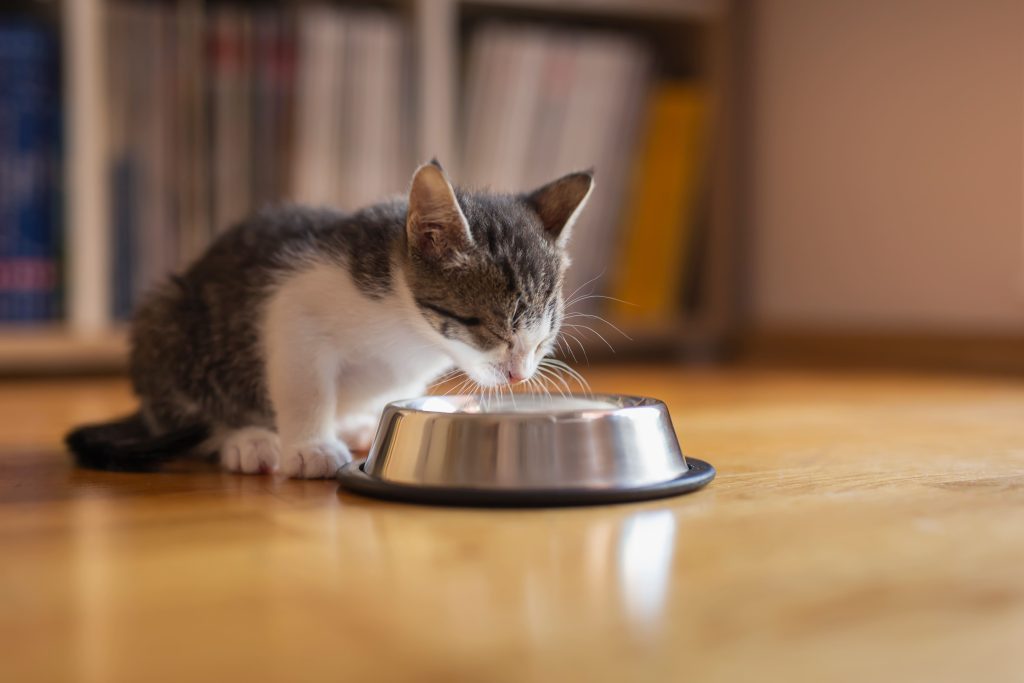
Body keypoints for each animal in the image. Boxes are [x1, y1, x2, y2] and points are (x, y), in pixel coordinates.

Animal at [66, 162, 593, 479]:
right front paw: (310, 446)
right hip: (166, 320)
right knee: (188, 411)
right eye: (481, 323)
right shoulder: (292, 305)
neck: (410, 330)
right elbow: (305, 385)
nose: (519, 374)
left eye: (544, 337)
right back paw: (247, 439)